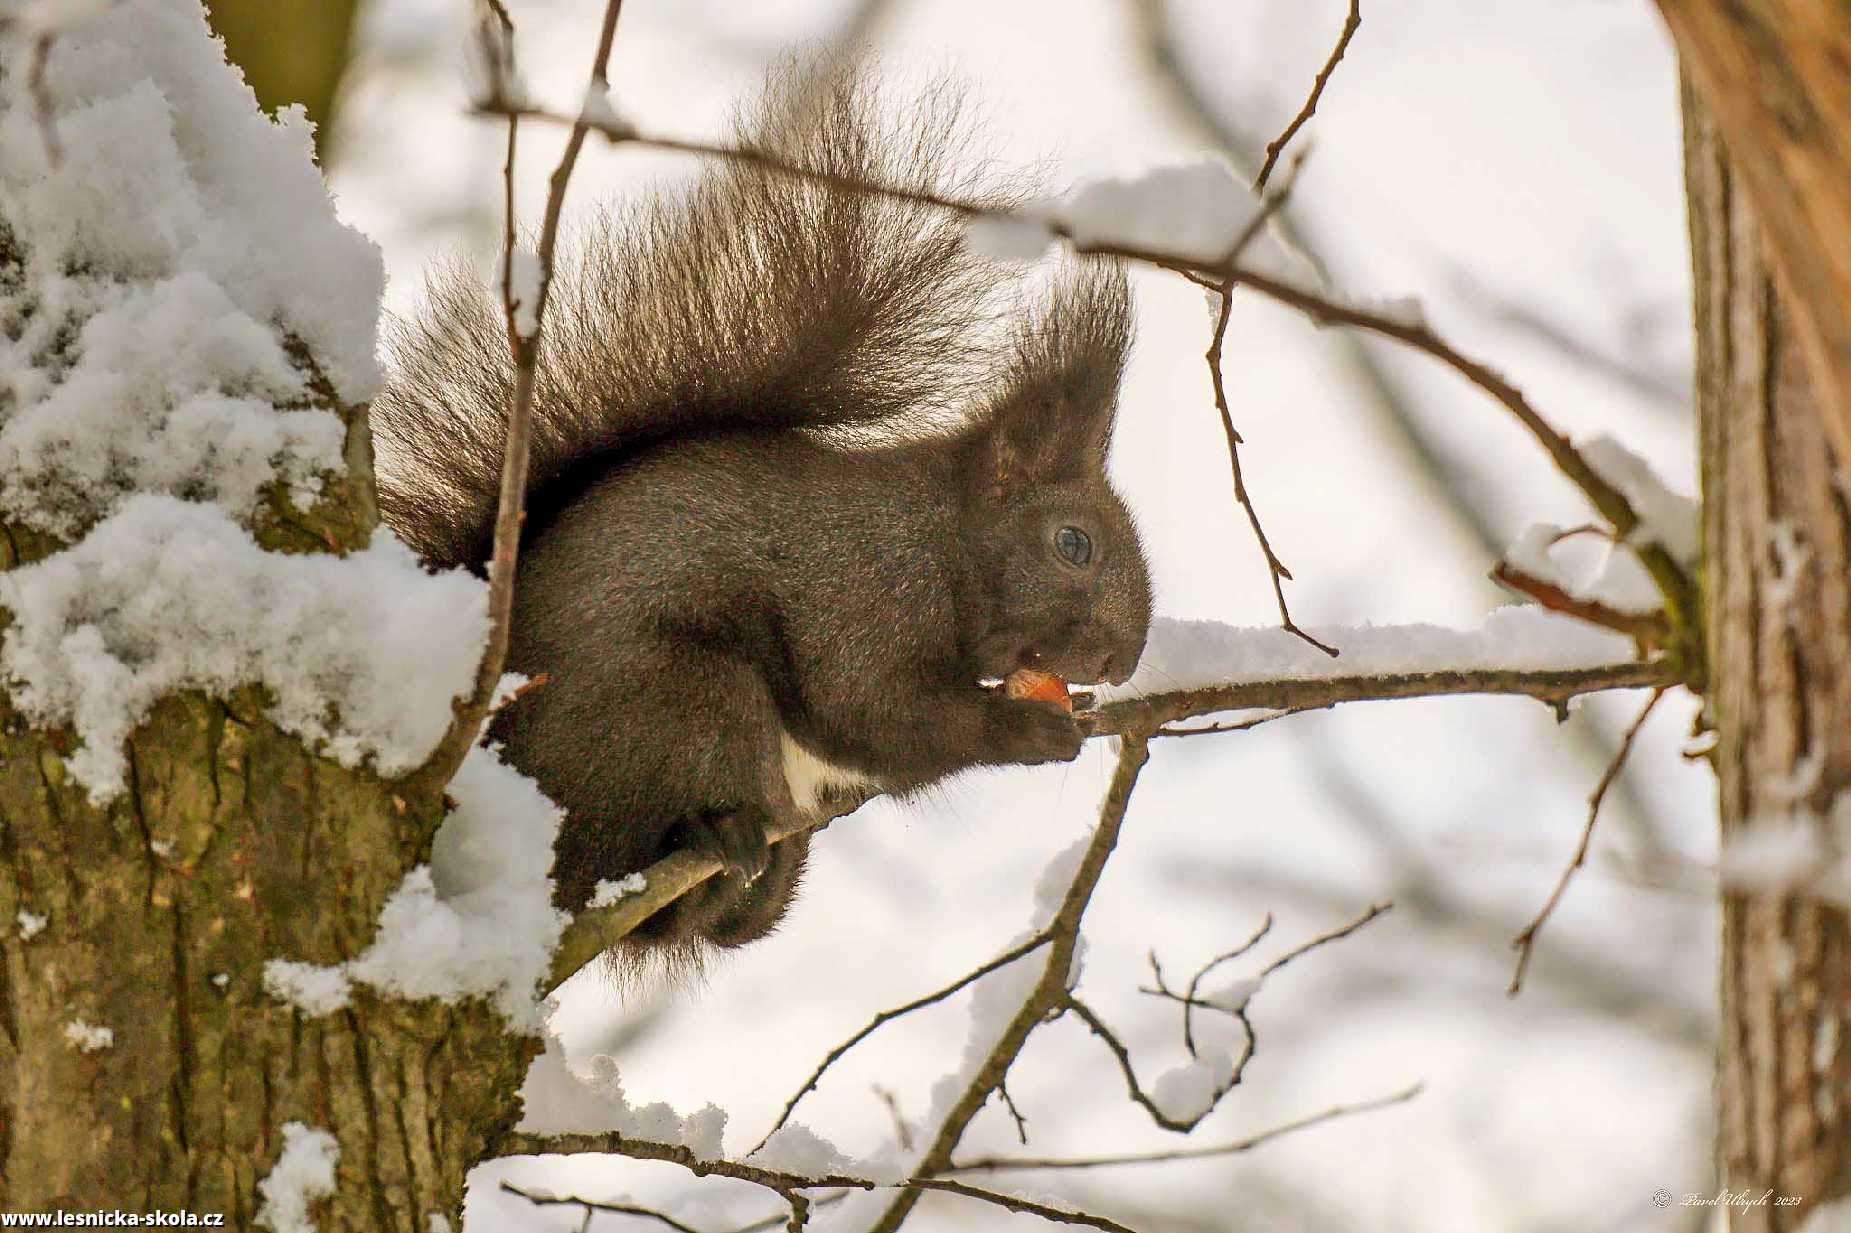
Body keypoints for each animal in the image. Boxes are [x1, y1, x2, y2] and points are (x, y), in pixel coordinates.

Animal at [368, 64, 1147, 947]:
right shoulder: (863, 587)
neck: (943, 538)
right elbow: (871, 711)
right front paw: (1027, 730)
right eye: (1073, 543)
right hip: (685, 698)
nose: (1123, 663)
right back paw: (718, 833)